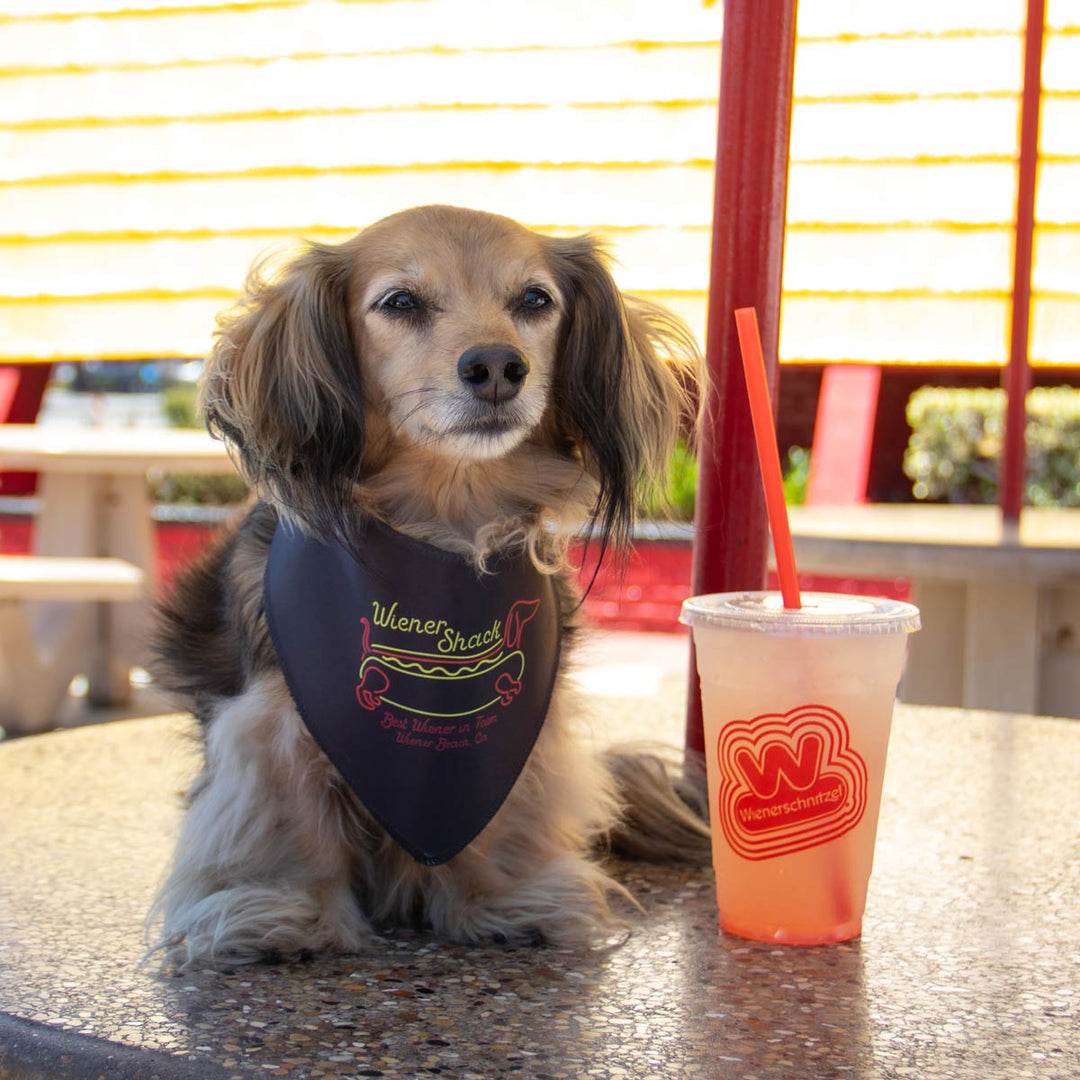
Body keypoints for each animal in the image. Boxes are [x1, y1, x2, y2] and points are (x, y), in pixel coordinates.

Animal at [150, 204, 708, 972]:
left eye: (535, 300)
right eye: (400, 302)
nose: (498, 366)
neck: (442, 532)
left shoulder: (524, 728)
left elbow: (500, 813)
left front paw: (501, 899)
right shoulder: (271, 726)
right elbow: (284, 820)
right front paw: (282, 908)